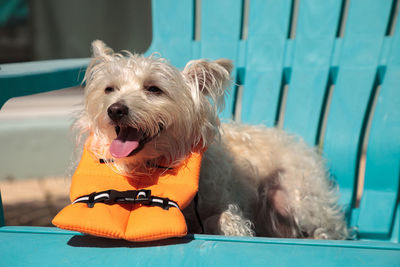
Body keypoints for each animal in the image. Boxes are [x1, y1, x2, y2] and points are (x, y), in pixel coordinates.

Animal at [74, 40, 346, 242]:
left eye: (153, 89)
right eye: (110, 89)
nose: (115, 110)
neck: (150, 166)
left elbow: (223, 217)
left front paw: (233, 227)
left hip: (299, 199)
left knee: (332, 228)